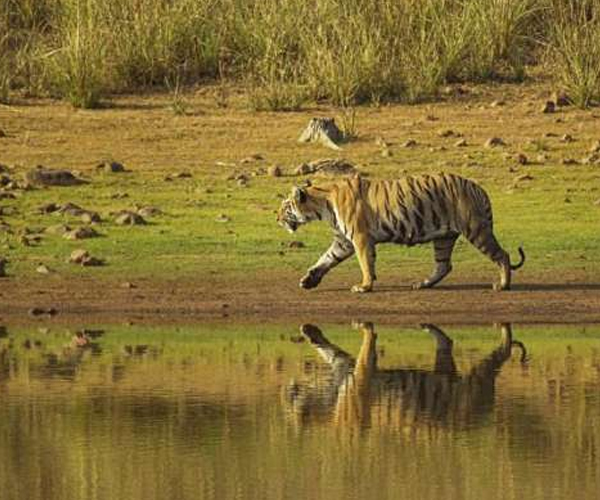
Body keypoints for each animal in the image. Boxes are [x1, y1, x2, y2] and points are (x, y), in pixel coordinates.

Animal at [278, 172, 524, 292]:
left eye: (285, 207)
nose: (277, 219)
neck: (322, 205)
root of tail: (479, 188)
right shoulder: (343, 241)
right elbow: (326, 259)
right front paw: (309, 280)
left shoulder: (360, 238)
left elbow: (365, 263)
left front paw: (365, 286)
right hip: (444, 237)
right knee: (444, 265)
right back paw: (422, 284)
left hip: (475, 230)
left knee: (503, 255)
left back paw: (503, 286)